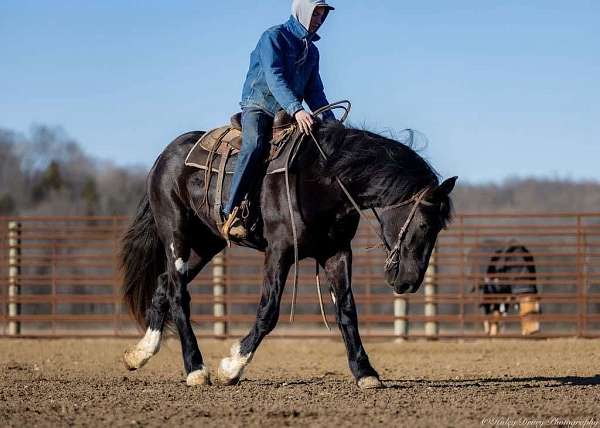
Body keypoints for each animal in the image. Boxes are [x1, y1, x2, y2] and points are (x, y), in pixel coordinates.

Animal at [120, 120, 454, 388]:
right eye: (425, 224)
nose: (409, 282)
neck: (323, 179)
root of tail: (167, 154)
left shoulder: (336, 252)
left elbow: (347, 310)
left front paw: (365, 372)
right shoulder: (279, 251)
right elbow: (268, 311)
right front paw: (232, 367)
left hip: (206, 242)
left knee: (164, 284)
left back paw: (140, 353)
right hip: (175, 232)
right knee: (178, 293)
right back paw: (195, 369)